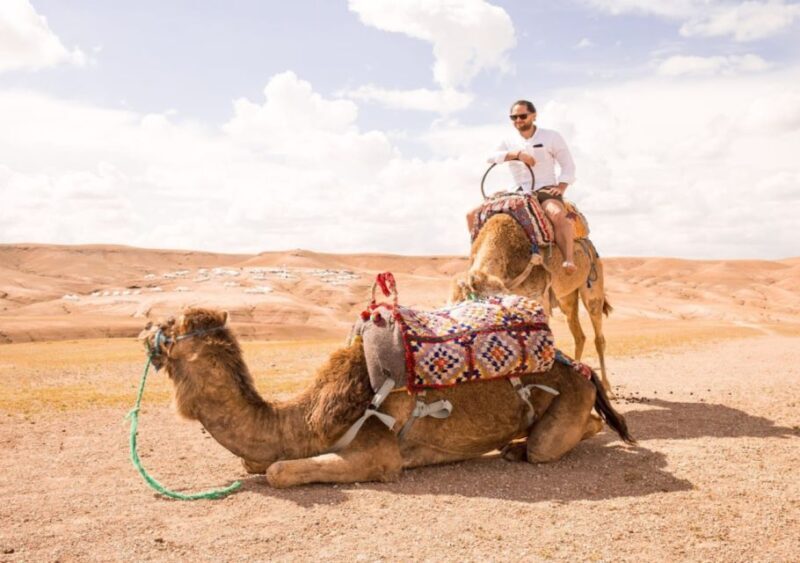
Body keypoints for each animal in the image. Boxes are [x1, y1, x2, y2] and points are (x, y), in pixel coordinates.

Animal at [139, 307, 633, 488]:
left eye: (169, 325)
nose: (142, 327)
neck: (307, 419)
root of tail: (579, 369)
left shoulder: (377, 455)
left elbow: (278, 471)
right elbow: (255, 461)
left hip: (565, 406)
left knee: (549, 443)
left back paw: (518, 448)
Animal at [452, 213, 614, 393]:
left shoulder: (539, 296)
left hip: (593, 284)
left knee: (598, 335)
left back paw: (606, 386)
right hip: (567, 298)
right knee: (579, 335)